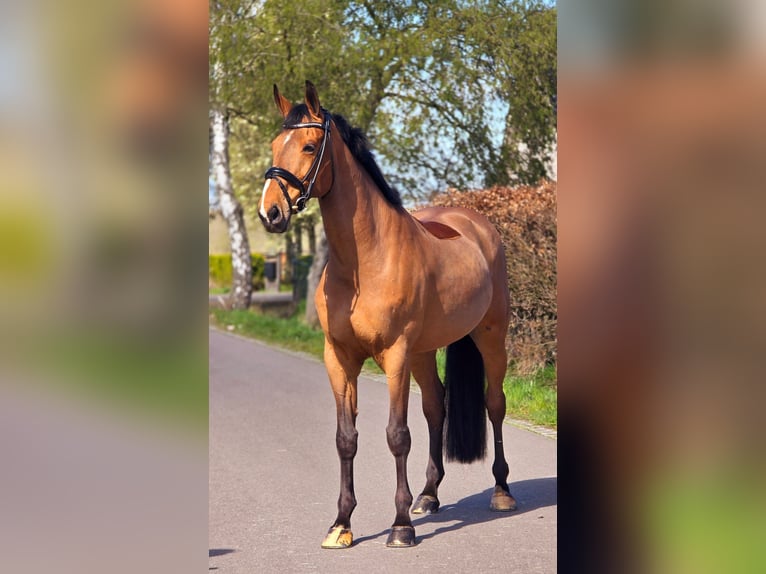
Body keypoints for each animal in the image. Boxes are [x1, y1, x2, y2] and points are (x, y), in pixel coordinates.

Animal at [259, 81, 517, 548]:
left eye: (308, 146)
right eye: (273, 145)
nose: (270, 213)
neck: (364, 263)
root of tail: (476, 223)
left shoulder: (395, 355)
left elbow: (397, 436)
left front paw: (400, 527)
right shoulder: (339, 358)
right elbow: (346, 439)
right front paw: (341, 524)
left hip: (490, 337)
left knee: (495, 403)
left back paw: (502, 492)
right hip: (425, 352)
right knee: (436, 406)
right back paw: (428, 496)